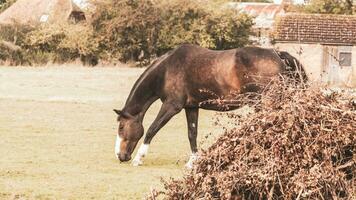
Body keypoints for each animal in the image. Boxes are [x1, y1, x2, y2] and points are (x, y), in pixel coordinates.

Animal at [114, 43, 306, 167]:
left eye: (121, 127)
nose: (120, 156)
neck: (167, 70)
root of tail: (278, 55)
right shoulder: (191, 107)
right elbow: (192, 134)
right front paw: (193, 162)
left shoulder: (172, 106)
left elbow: (152, 129)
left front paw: (139, 158)